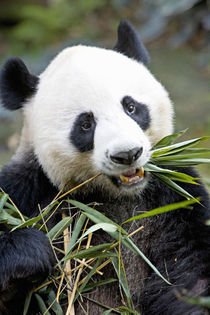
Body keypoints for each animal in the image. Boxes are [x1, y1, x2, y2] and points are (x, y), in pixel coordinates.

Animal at [0, 21, 209, 314]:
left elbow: (190, 275)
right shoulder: (27, 190)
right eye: (86, 124)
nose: (128, 154)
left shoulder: (176, 201)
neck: (115, 198)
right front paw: (28, 255)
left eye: (131, 107)